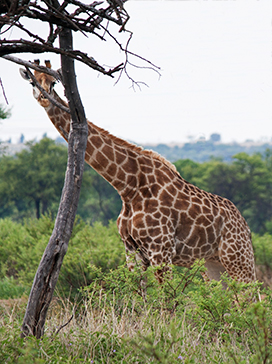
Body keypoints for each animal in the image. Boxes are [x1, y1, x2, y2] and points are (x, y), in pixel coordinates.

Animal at [20, 60, 256, 284]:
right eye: (33, 81)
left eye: (53, 82)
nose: (43, 99)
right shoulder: (131, 251)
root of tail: (245, 225)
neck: (128, 187)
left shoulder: (161, 250)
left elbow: (167, 298)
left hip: (238, 260)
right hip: (213, 265)